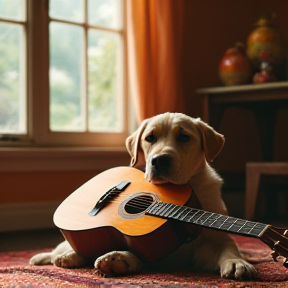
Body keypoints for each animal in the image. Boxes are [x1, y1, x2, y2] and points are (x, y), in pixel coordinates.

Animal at [29, 112, 256, 280]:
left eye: (184, 137)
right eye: (150, 138)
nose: (159, 160)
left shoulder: (207, 244)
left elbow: (228, 247)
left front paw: (236, 261)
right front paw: (120, 259)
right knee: (62, 248)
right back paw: (53, 256)